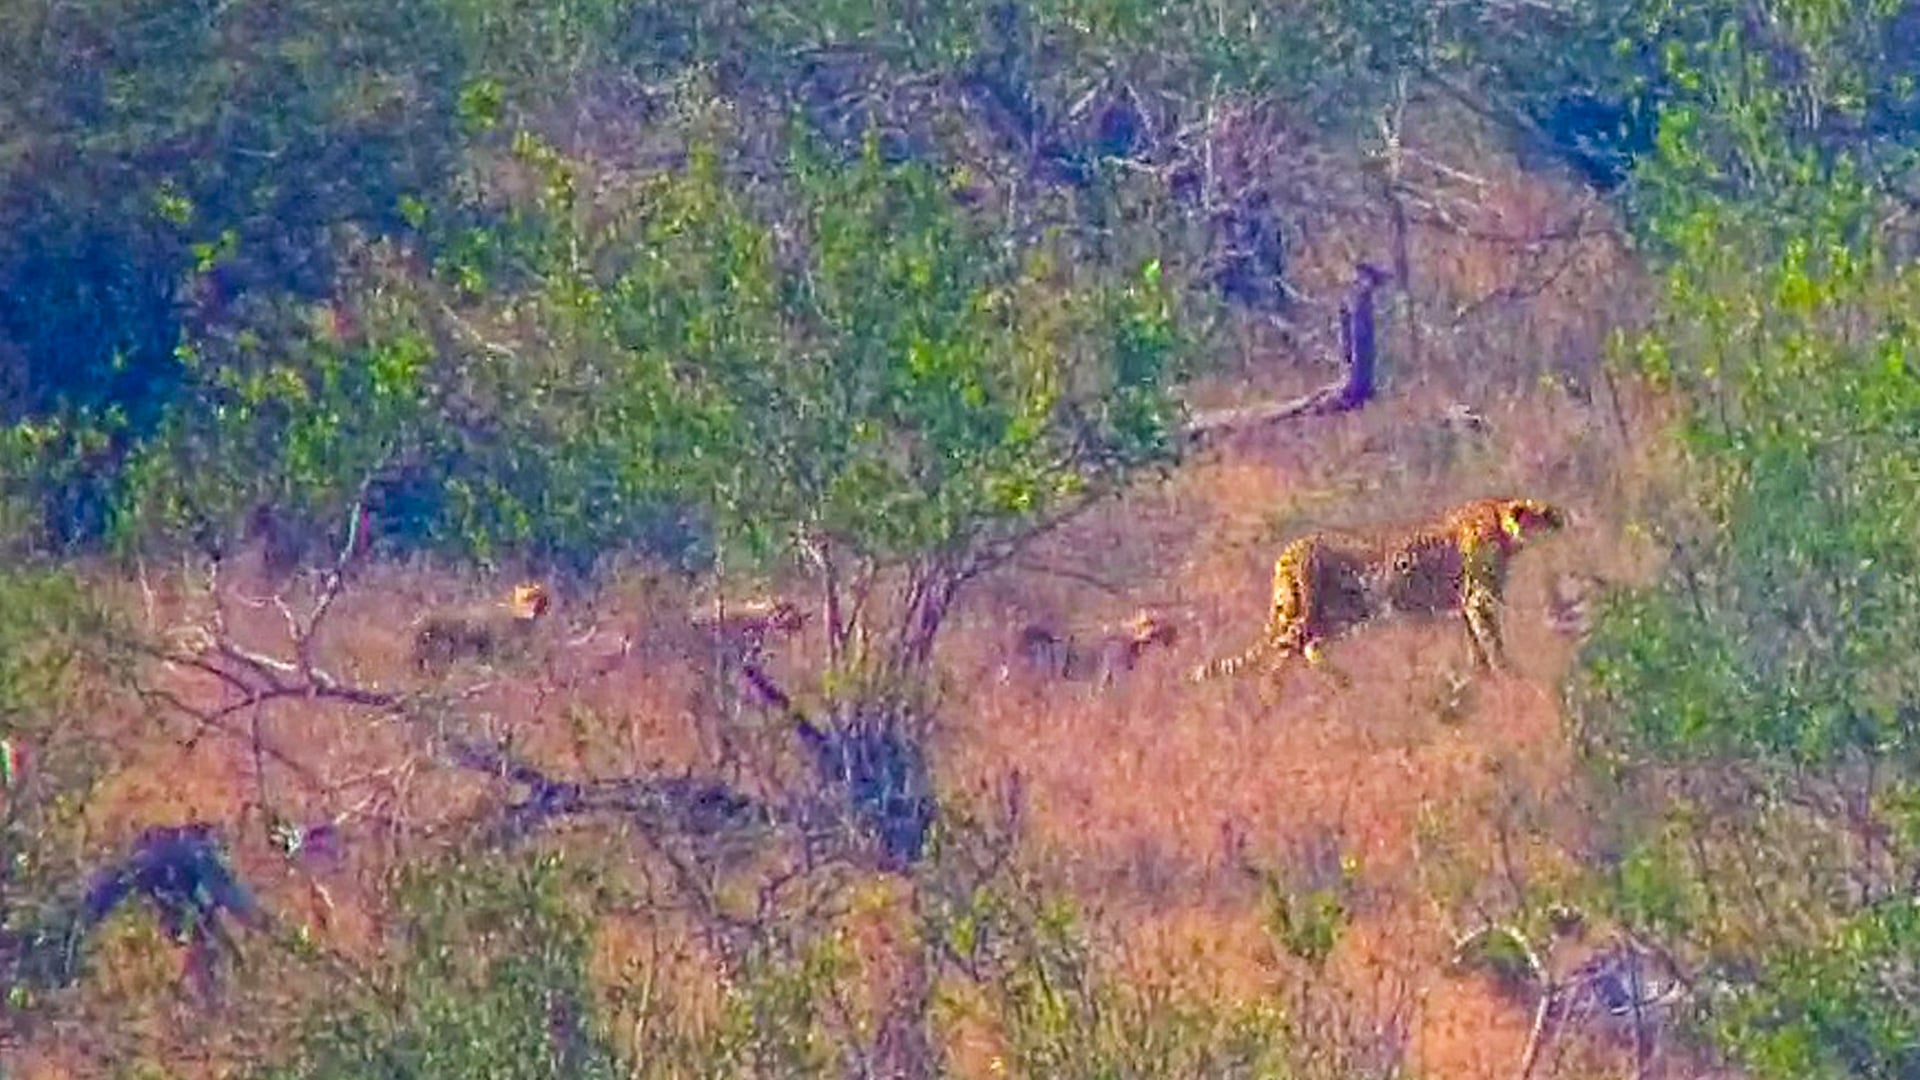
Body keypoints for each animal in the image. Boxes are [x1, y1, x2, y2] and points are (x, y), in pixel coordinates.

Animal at [1189, 496, 1567, 689]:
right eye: (1545, 514)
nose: (1562, 518)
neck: (1500, 521)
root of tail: (1291, 549)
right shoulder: (1479, 600)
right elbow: (1492, 640)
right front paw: (1509, 676)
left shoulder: (1465, 604)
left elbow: (1477, 643)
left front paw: (1484, 675)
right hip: (1327, 611)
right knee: (1285, 653)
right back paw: (1279, 697)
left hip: (1337, 614)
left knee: (1300, 648)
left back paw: (1336, 685)